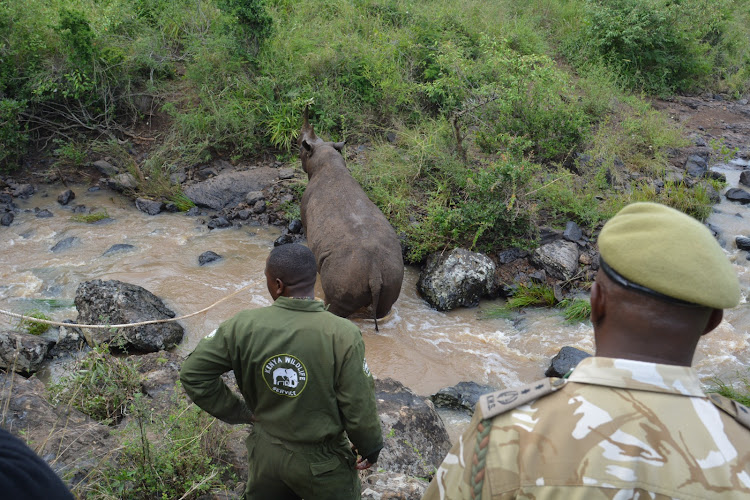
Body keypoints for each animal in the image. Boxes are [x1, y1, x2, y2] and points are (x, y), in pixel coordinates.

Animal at [300, 107, 406, 330]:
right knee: (384, 306)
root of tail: (374, 273)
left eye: (299, 148)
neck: (324, 157)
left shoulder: (304, 210)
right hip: (392, 274)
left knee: (336, 307)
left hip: (344, 275)